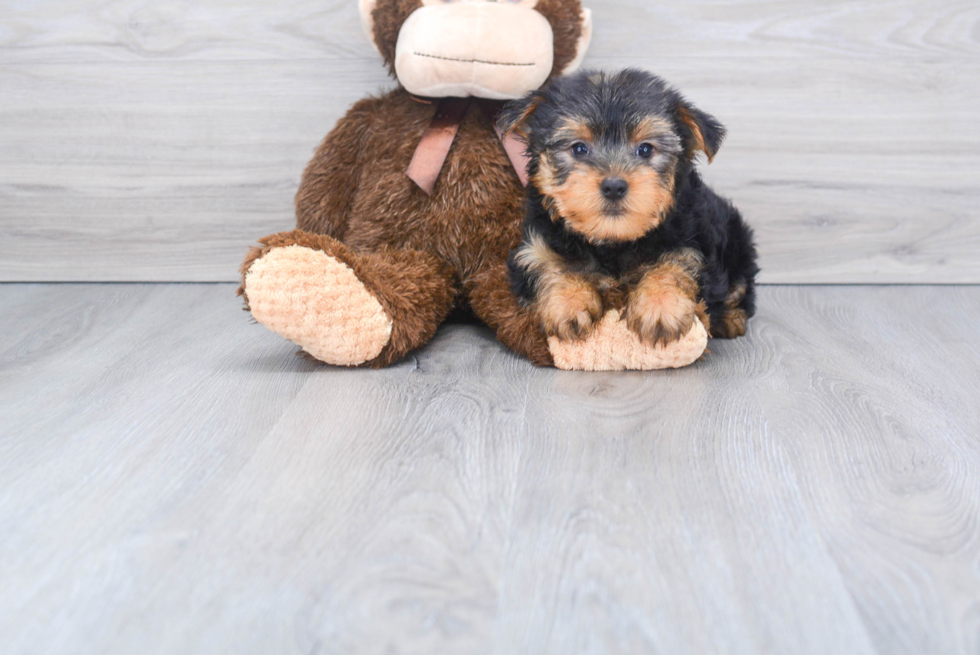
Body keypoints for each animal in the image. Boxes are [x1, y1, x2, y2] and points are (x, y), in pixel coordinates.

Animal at [498, 70, 756, 348]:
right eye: (579, 148)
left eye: (645, 149)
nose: (614, 186)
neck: (612, 243)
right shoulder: (534, 242)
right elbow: (545, 261)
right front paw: (569, 301)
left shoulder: (692, 237)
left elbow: (678, 260)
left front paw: (660, 305)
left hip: (737, 241)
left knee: (740, 288)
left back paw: (731, 319)